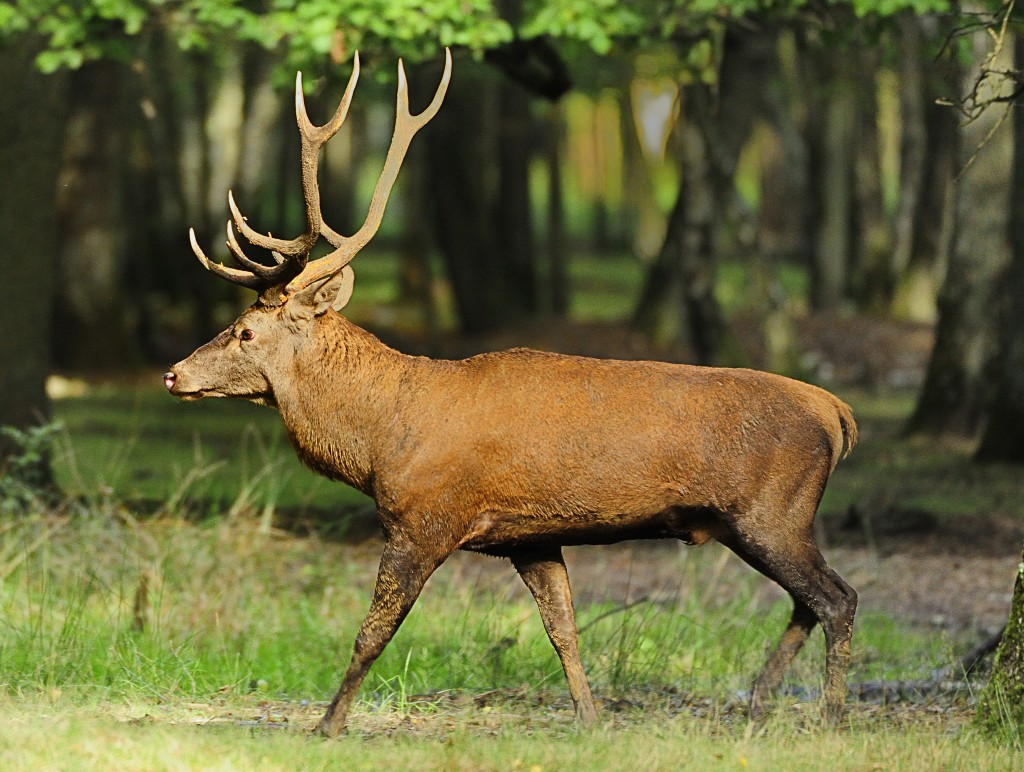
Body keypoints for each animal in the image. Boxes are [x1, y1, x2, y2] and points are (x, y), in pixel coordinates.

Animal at [165, 48, 856, 733]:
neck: (380, 439)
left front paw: (327, 726)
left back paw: (828, 715)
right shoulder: (532, 537)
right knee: (806, 604)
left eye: (246, 330)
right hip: (757, 522)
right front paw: (589, 718)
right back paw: (760, 701)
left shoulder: (424, 519)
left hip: (773, 513)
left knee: (838, 599)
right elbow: (564, 631)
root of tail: (837, 413)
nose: (174, 373)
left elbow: (371, 635)